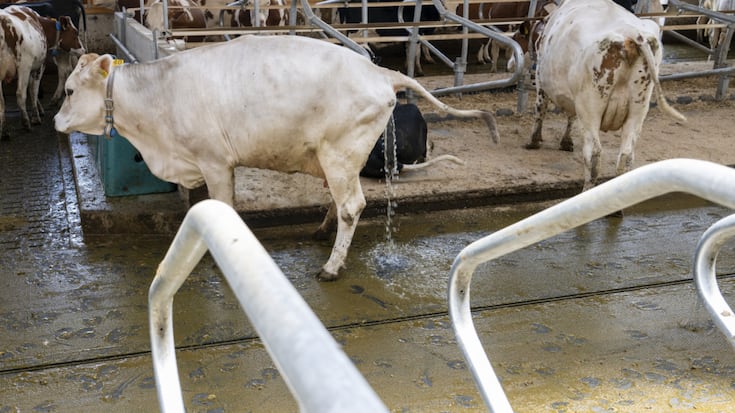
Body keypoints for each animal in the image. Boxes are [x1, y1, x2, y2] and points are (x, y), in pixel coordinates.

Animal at [0, 5, 48, 140]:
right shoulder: (39, 67)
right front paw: (36, 117)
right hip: (24, 65)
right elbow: (33, 91)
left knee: (1, 101)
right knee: (21, 93)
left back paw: (4, 132)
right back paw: (26, 123)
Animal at [53, 35, 498, 280]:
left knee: (352, 205)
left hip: (340, 152)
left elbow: (223, 206)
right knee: (339, 201)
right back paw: (322, 232)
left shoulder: (215, 162)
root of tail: (380, 72)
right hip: (333, 158)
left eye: (70, 90)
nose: (56, 121)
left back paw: (332, 267)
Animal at [527, 0, 686, 192]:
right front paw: (566, 142)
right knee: (626, 156)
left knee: (594, 154)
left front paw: (534, 141)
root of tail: (632, 34)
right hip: (639, 107)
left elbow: (540, 109)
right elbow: (570, 116)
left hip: (590, 106)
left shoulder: (541, 80)